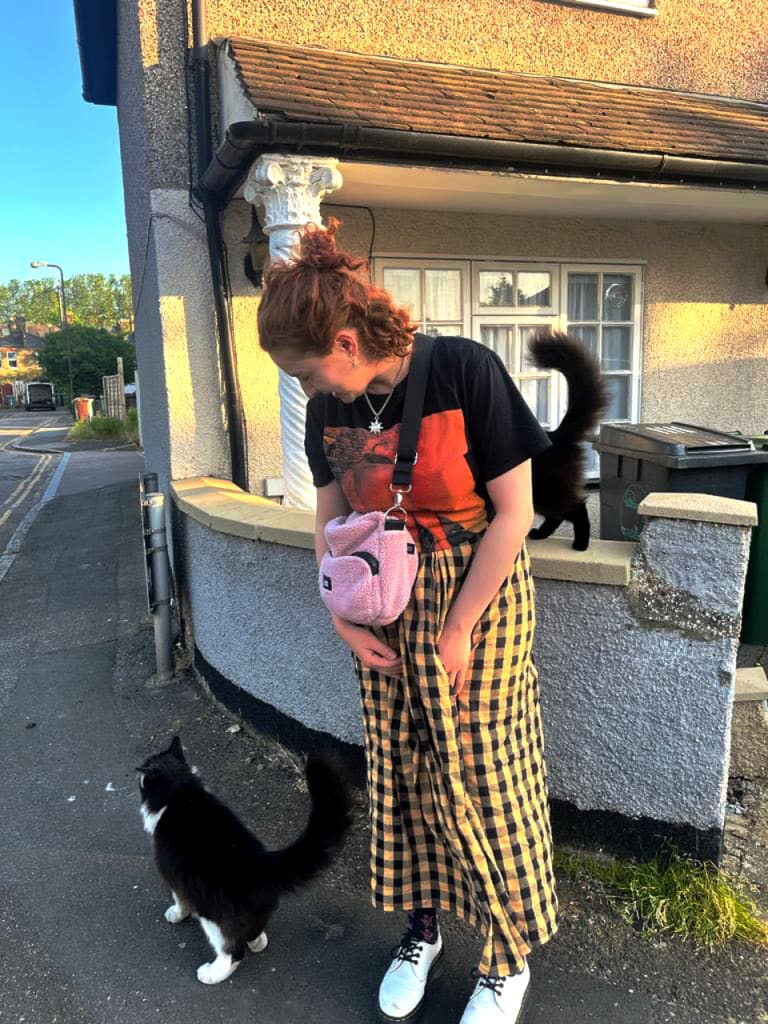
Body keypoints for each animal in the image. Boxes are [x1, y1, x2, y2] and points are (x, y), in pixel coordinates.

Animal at [138, 737, 352, 983]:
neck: (180, 793)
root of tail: (259, 863)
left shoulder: (172, 873)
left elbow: (180, 899)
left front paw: (176, 914)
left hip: (213, 915)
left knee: (232, 952)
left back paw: (211, 974)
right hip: (258, 909)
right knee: (253, 931)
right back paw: (257, 943)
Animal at [528, 329, 610, 552]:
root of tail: (557, 434)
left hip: (546, 491)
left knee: (577, 509)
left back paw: (581, 543)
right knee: (557, 516)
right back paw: (539, 534)